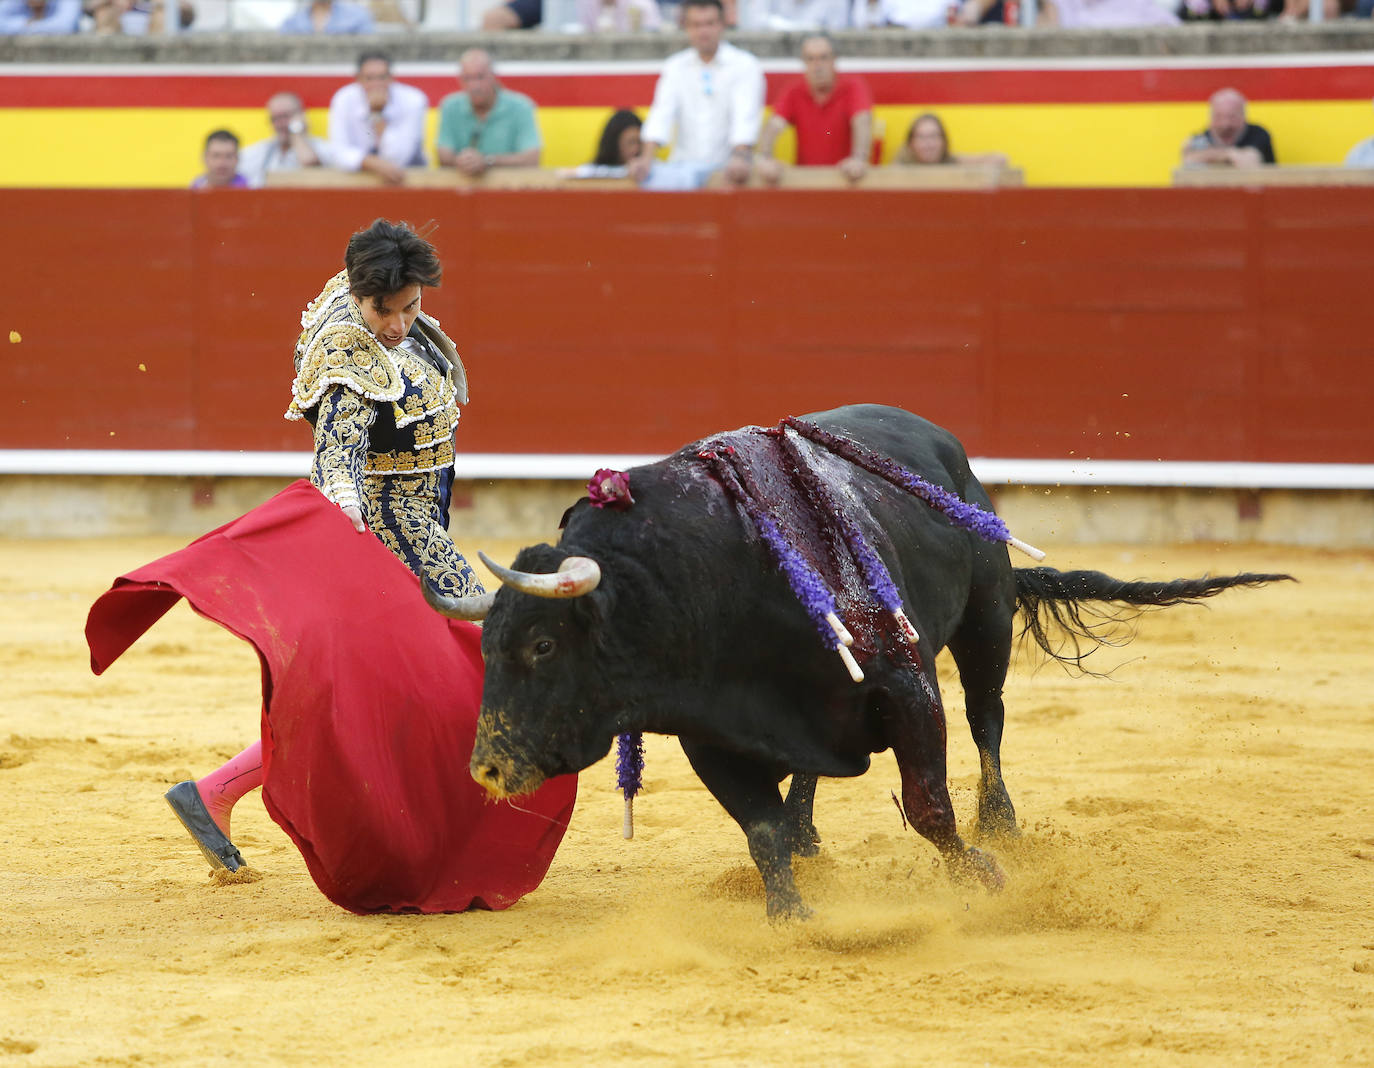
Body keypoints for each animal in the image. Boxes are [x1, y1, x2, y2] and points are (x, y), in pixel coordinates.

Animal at [425, 404, 1286, 918]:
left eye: (542, 644)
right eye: (489, 644)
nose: (487, 769)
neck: (705, 578)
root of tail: (942, 443)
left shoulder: (907, 686)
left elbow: (931, 805)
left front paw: (980, 877)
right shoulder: (712, 733)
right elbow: (760, 831)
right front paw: (791, 912)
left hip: (985, 624)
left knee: (988, 721)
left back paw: (1002, 825)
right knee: (814, 781)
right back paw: (811, 835)